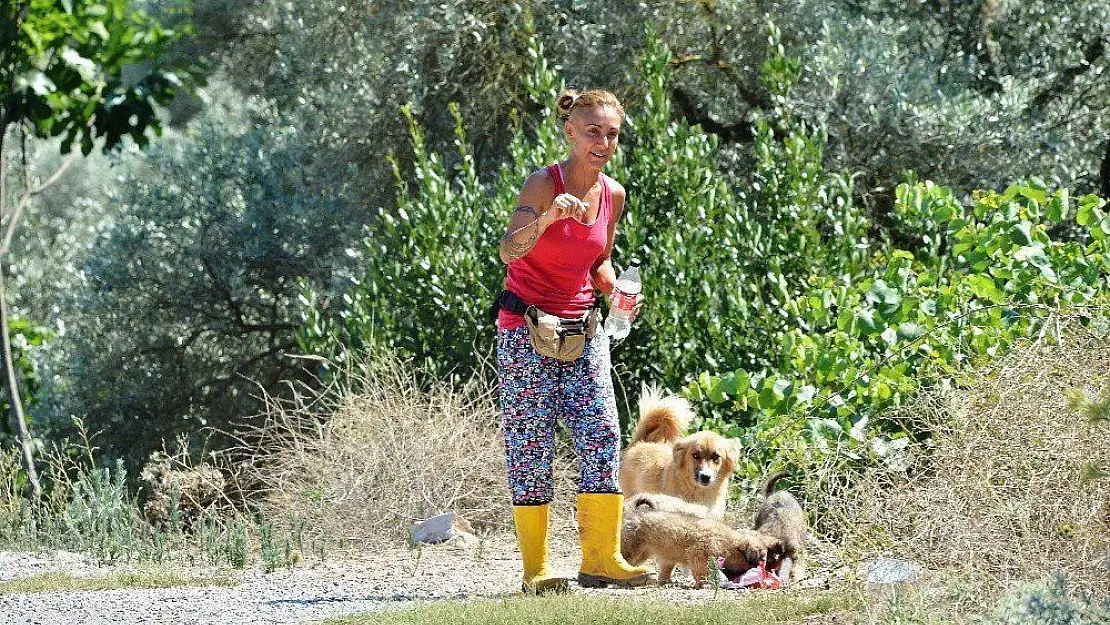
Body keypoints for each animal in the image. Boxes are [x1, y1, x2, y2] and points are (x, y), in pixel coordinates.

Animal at [626, 495, 781, 586]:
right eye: (761, 559)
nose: (764, 570)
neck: (730, 543)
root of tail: (633, 513)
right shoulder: (699, 555)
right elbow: (701, 571)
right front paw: (704, 584)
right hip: (632, 550)